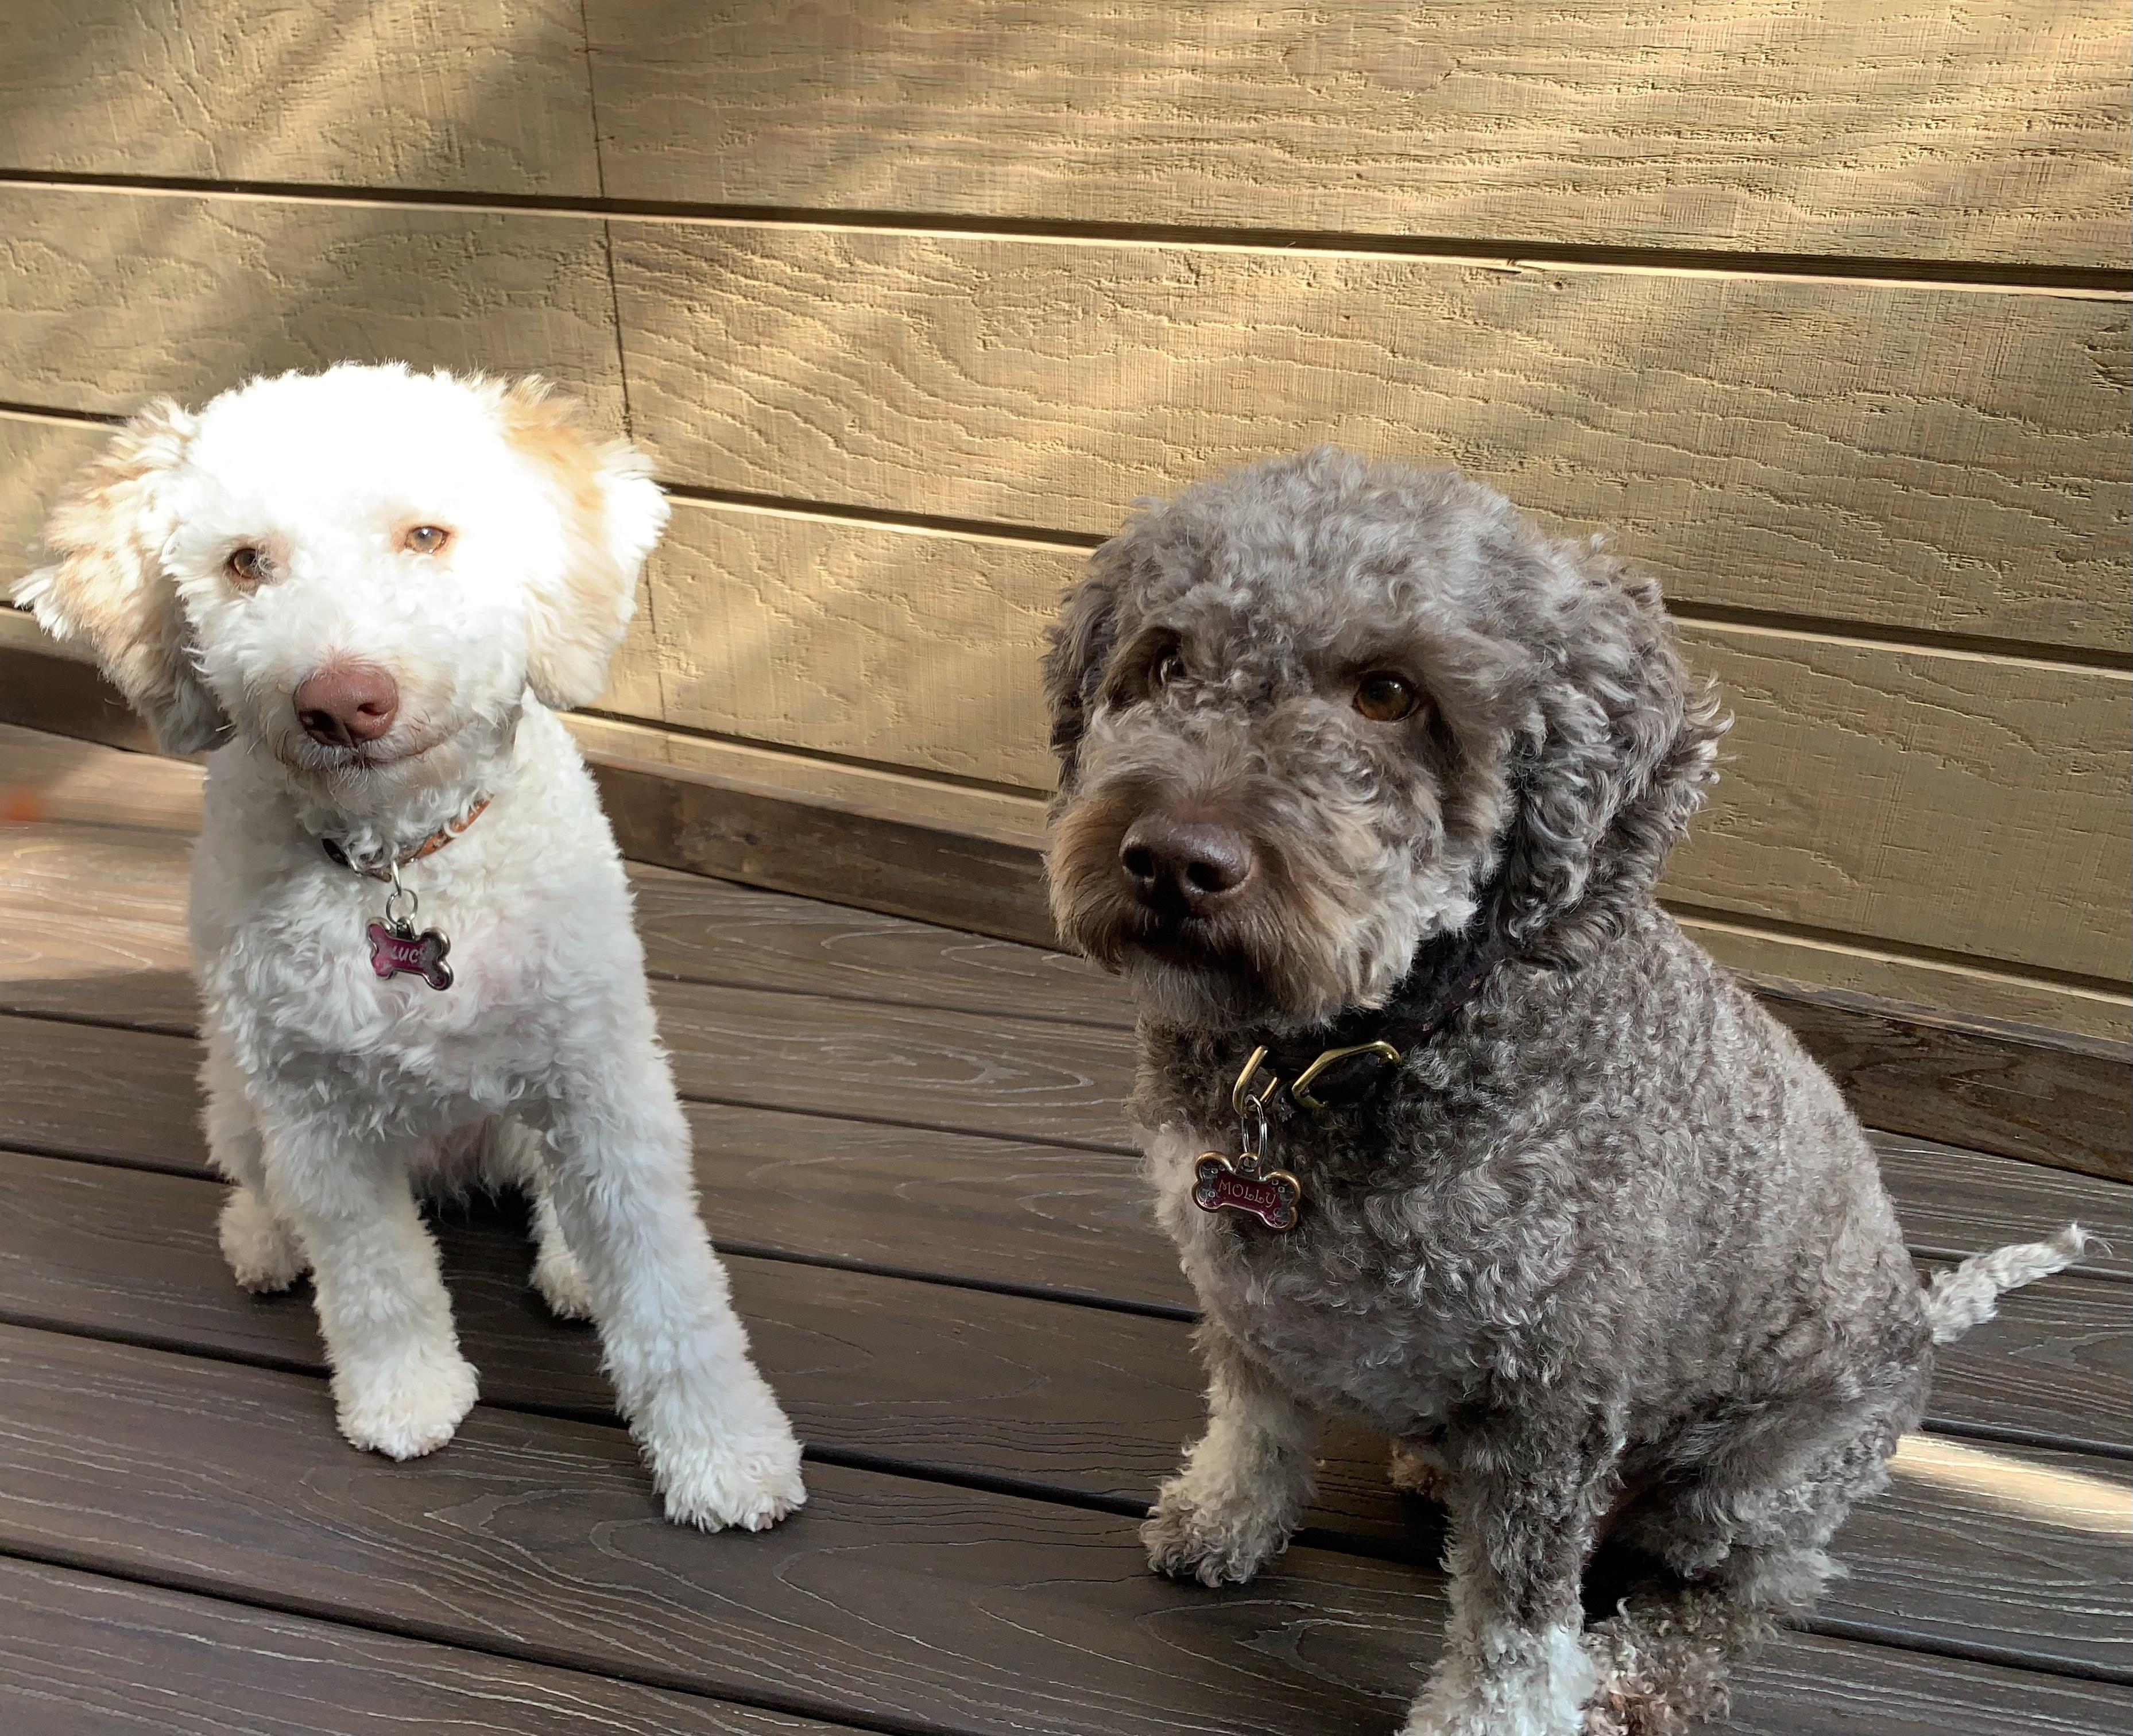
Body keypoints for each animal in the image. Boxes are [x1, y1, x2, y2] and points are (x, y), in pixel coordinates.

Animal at [17, 363, 805, 1532]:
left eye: (425, 535)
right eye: (245, 562)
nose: (342, 702)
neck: (397, 857)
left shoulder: (599, 1080)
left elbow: (670, 1290)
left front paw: (725, 1454)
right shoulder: (313, 1110)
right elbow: (374, 1274)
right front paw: (405, 1397)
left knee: (559, 1197)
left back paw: (572, 1265)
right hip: (235, 1090)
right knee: (260, 1180)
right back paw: (266, 1239)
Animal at [1041, 448, 2083, 1735]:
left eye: (1390, 693)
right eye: (1167, 659)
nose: (1173, 860)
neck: (1340, 1059)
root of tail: (1921, 1321)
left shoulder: (1555, 1401)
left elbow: (1515, 1619)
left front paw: (1486, 1718)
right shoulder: (1246, 1296)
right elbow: (1257, 1420)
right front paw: (1225, 1515)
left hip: (1753, 1480)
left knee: (1749, 1592)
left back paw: (1641, 1673)